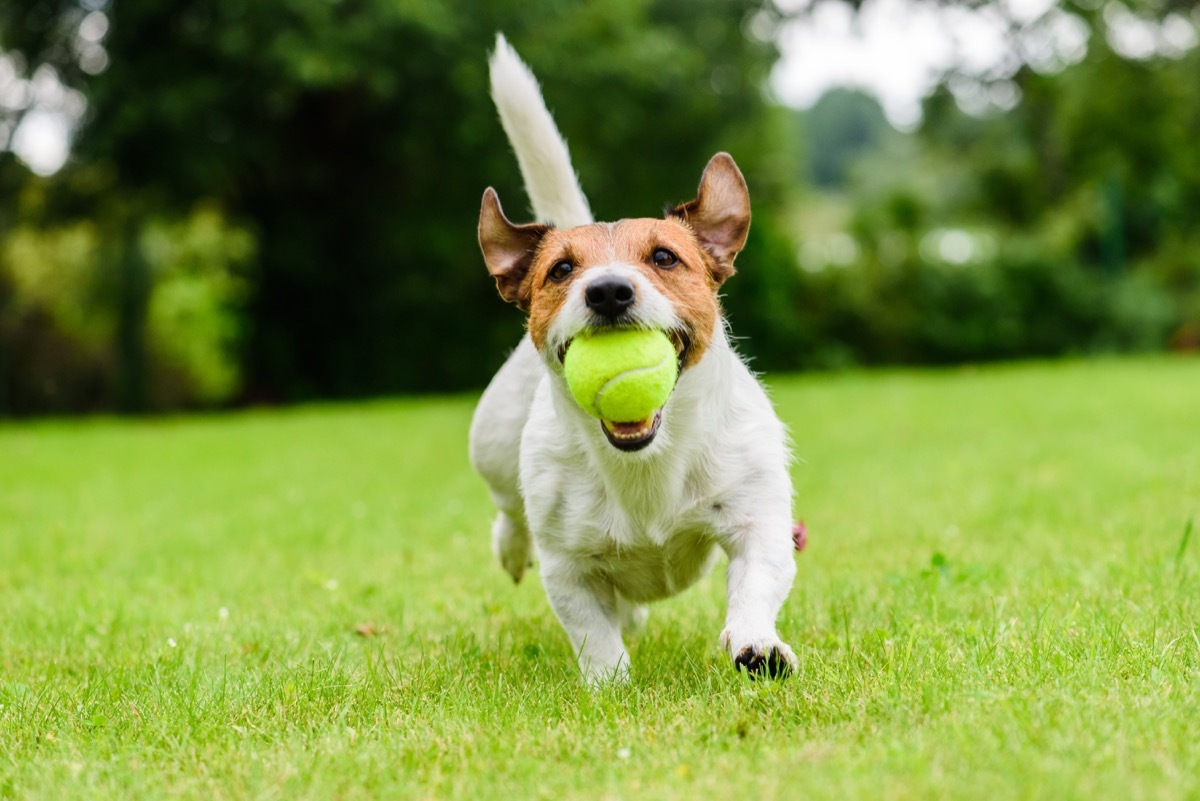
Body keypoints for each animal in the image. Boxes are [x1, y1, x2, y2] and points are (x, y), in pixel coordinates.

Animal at [468, 37, 796, 685]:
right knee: (510, 514)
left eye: (665, 257)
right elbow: (591, 631)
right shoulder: (567, 564)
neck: (645, 462)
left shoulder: (759, 519)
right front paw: (610, 684)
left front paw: (757, 646)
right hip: (491, 447)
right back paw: (511, 547)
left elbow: (754, 585)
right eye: (561, 269)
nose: (608, 291)